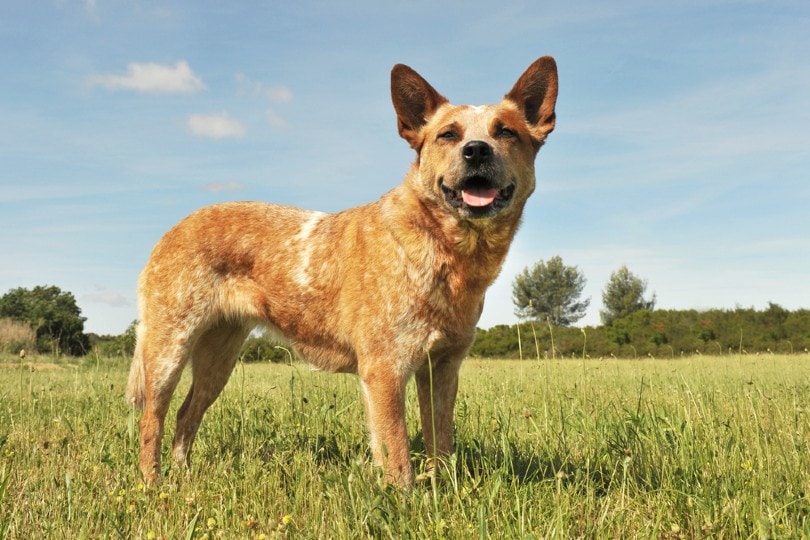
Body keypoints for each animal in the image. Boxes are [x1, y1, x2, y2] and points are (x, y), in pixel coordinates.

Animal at [128, 57, 556, 488]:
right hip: (169, 349)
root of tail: (170, 232)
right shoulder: (385, 369)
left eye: (506, 131)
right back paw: (153, 485)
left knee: (186, 415)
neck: (446, 249)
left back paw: (182, 477)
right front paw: (404, 498)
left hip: (219, 357)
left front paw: (442, 490)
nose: (476, 151)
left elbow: (440, 442)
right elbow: (398, 455)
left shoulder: (443, 367)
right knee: (152, 420)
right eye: (447, 135)